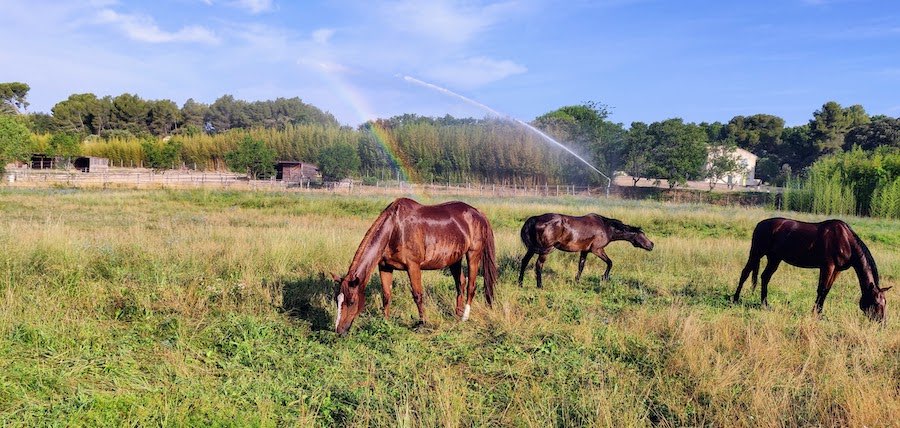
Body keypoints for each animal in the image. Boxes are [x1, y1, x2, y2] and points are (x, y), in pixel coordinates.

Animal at [332, 198, 498, 335]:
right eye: (337, 301)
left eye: (351, 302)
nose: (339, 331)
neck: (395, 229)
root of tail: (478, 213)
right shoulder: (385, 267)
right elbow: (386, 295)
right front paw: (385, 321)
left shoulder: (413, 266)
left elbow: (418, 295)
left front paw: (422, 322)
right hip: (454, 259)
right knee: (460, 284)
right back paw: (457, 313)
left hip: (473, 254)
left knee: (471, 286)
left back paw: (464, 316)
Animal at [517, 213, 654, 288]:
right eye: (642, 234)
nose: (651, 245)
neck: (606, 227)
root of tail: (535, 219)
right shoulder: (597, 249)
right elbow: (610, 262)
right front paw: (604, 278)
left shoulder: (585, 251)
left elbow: (581, 266)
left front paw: (577, 281)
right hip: (545, 251)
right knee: (538, 265)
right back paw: (540, 286)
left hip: (532, 249)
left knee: (524, 262)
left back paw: (520, 283)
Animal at [733, 217, 891, 321]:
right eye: (876, 303)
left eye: (885, 303)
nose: (882, 323)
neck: (846, 240)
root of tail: (760, 224)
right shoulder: (827, 266)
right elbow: (821, 289)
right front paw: (814, 313)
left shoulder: (837, 270)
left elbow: (826, 290)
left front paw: (820, 313)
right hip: (756, 253)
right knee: (745, 273)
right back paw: (735, 299)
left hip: (774, 258)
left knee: (765, 277)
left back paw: (765, 304)